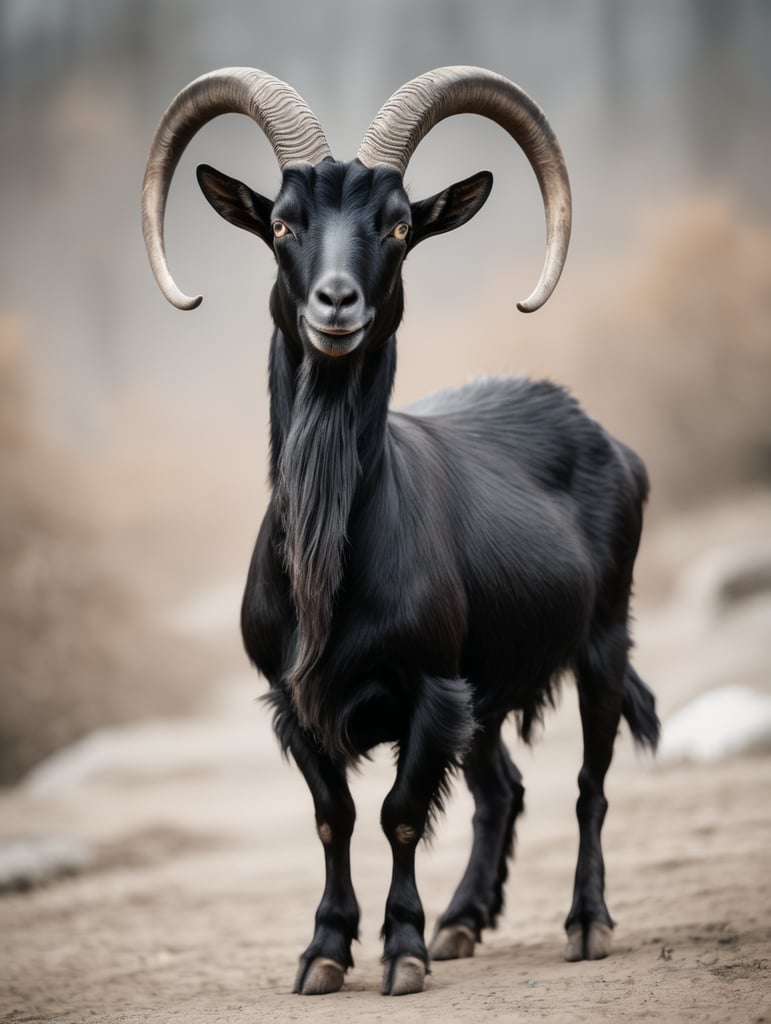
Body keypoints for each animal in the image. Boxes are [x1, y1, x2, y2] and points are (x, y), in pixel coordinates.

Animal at [142, 66, 659, 997]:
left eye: (396, 225)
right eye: (281, 222)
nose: (335, 302)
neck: (328, 566)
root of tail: (607, 439)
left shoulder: (427, 687)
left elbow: (401, 815)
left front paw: (403, 951)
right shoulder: (297, 702)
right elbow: (333, 817)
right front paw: (323, 952)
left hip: (601, 638)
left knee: (587, 783)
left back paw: (584, 923)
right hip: (485, 688)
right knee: (502, 788)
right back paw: (464, 921)